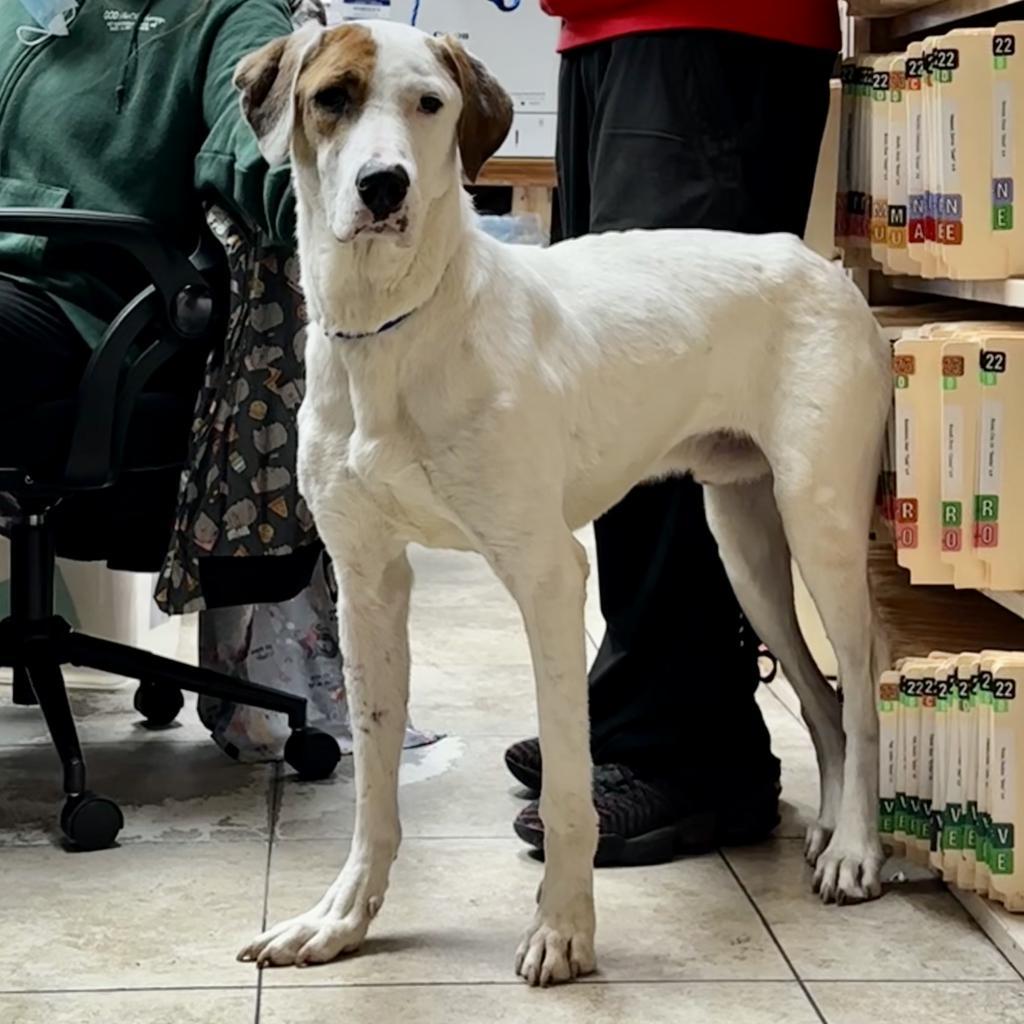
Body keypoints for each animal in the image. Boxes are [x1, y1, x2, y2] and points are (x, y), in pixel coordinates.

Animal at [235, 22, 892, 983]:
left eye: (429, 103)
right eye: (332, 99)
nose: (384, 186)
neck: (398, 327)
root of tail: (816, 261)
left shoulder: (548, 577)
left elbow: (572, 788)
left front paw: (564, 929)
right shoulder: (368, 587)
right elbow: (374, 783)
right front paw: (342, 917)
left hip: (822, 527)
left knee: (863, 694)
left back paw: (857, 849)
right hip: (745, 543)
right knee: (821, 701)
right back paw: (833, 829)